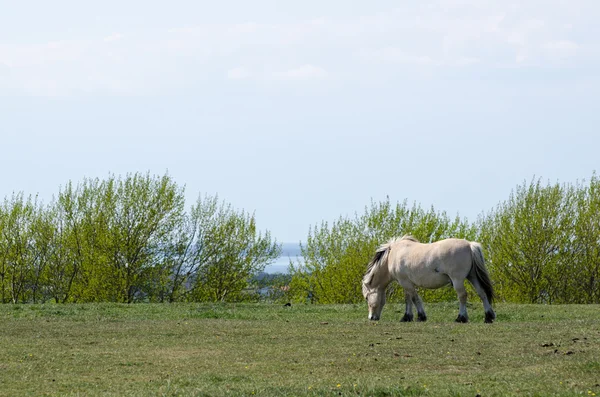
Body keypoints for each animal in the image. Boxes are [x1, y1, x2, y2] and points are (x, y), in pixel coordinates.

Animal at [360, 235, 496, 322]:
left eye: (366, 298)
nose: (371, 318)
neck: (392, 255)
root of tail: (469, 245)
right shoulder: (406, 283)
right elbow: (408, 299)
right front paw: (407, 317)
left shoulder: (405, 282)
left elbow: (414, 299)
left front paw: (420, 316)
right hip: (472, 277)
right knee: (482, 293)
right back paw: (488, 317)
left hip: (457, 280)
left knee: (462, 296)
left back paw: (461, 318)